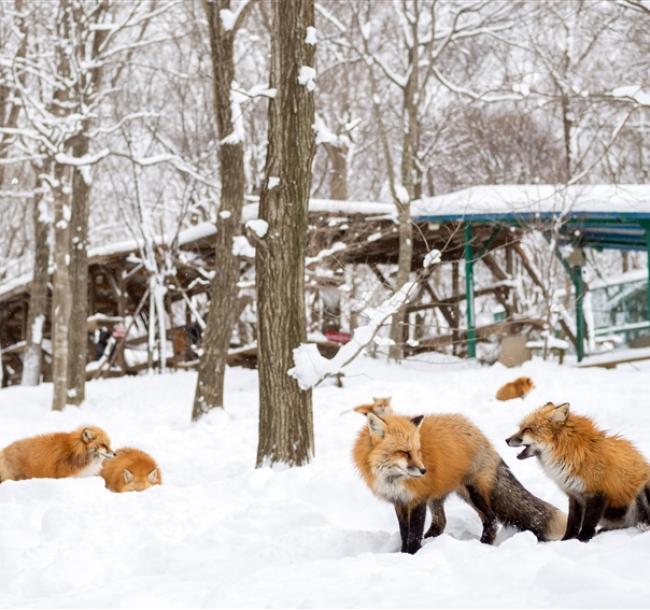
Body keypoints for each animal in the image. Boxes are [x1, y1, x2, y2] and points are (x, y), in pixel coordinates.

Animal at [352, 400, 564, 552]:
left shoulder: (417, 499)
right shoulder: (400, 501)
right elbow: (405, 533)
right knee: (441, 523)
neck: (392, 478)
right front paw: (402, 553)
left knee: (491, 519)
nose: (423, 471)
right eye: (404, 452)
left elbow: (413, 535)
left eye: (417, 451)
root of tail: (479, 433)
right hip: (440, 496)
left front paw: (411, 555)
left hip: (473, 491)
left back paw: (483, 545)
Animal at [506, 402, 648, 540]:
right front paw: (567, 540)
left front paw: (583, 538)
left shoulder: (597, 492)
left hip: (640, 493)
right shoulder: (574, 495)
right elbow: (572, 522)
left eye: (527, 429)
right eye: (520, 428)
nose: (506, 440)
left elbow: (588, 522)